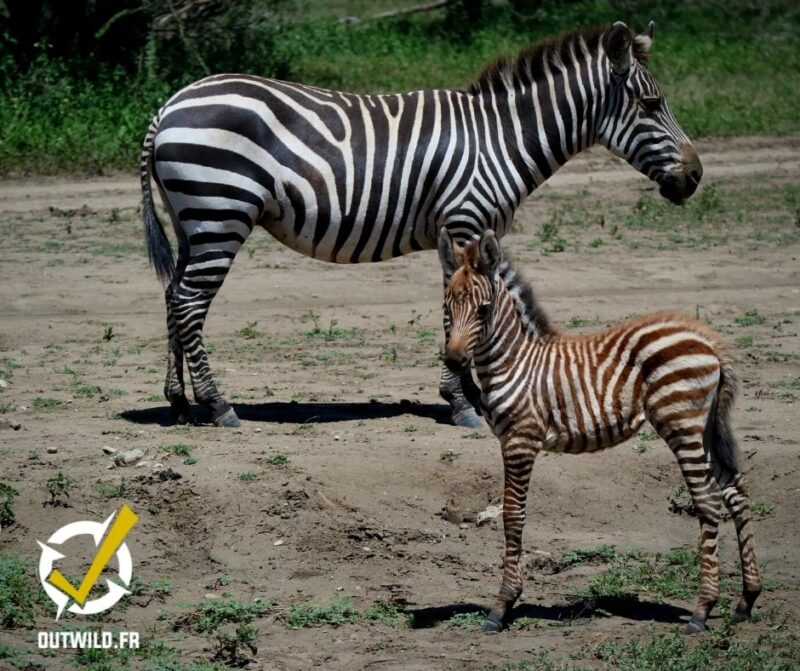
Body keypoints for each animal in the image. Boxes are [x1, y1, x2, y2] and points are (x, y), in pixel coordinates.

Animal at [142, 25, 700, 430]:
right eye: (651, 105)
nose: (694, 177)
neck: (501, 140)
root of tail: (169, 103)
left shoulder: (470, 232)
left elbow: (491, 301)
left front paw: (477, 392)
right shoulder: (465, 220)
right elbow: (461, 307)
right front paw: (463, 403)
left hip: (192, 221)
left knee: (172, 295)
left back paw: (179, 403)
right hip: (221, 212)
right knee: (189, 302)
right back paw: (217, 405)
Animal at [444, 230, 764, 636]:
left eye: (483, 311)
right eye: (447, 307)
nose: (453, 361)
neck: (516, 363)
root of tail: (708, 339)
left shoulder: (520, 439)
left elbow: (513, 514)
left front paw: (502, 606)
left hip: (681, 423)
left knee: (708, 500)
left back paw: (702, 610)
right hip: (706, 427)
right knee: (735, 491)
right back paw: (746, 599)